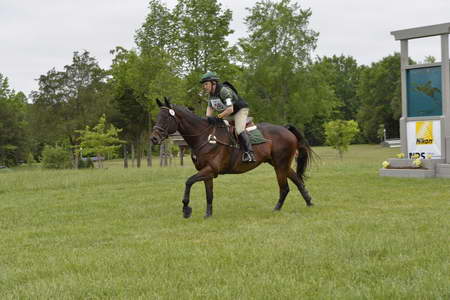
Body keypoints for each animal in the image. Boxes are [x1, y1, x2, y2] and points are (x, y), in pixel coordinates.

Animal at [150, 98, 312, 218]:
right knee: (298, 181)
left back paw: (277, 209)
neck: (204, 137)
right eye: (157, 117)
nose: (153, 138)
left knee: (285, 188)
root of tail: (285, 129)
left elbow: (189, 181)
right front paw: (208, 215)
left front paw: (186, 208)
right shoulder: (207, 172)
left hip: (280, 164)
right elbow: (209, 194)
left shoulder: (211, 169)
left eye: (166, 118)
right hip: (279, 164)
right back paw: (309, 203)